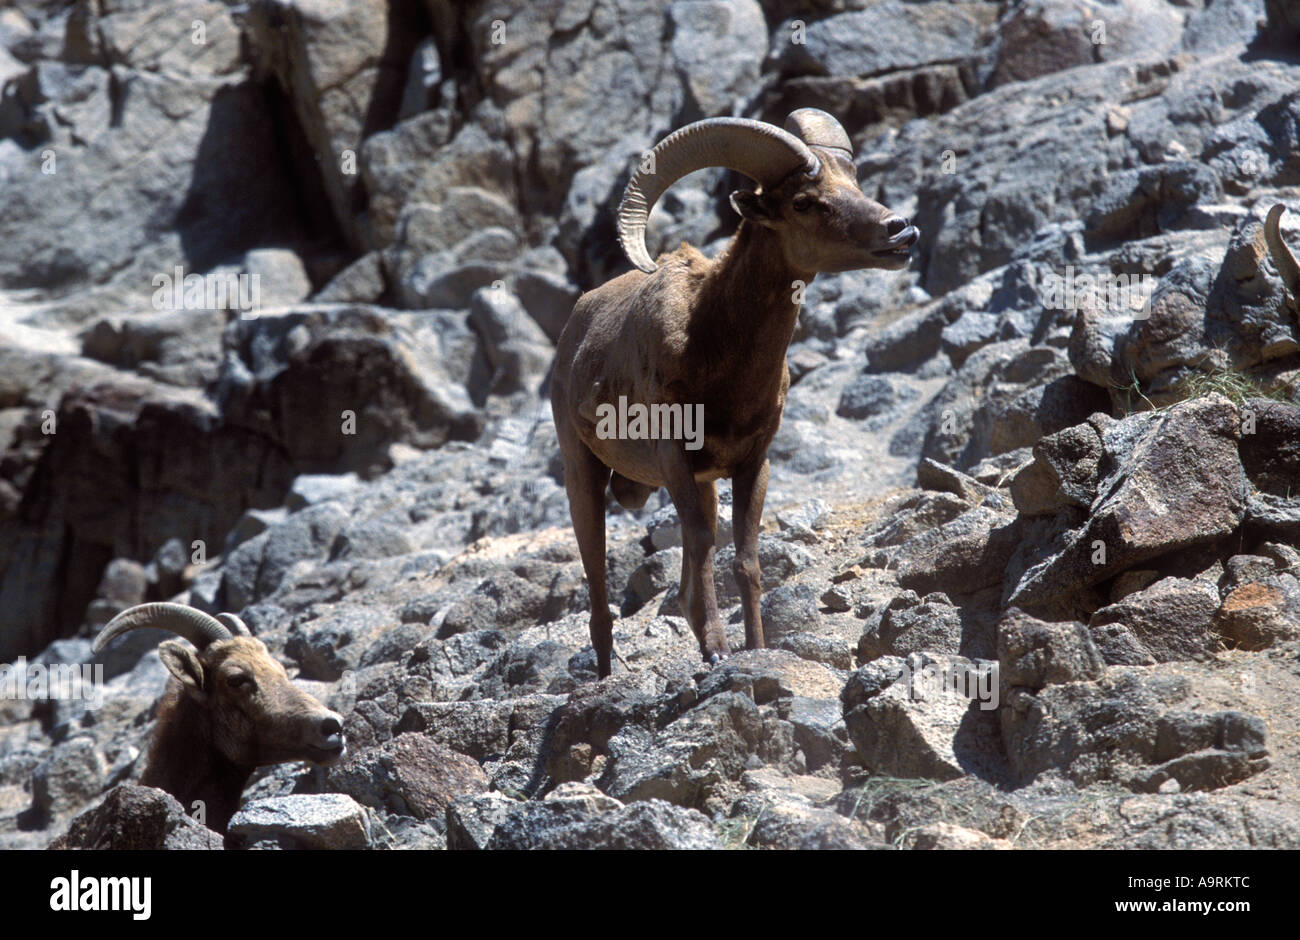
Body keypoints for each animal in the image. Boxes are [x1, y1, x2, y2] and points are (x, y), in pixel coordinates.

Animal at [553, 108, 920, 676]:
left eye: (853, 181)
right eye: (803, 201)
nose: (900, 229)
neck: (713, 347)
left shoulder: (752, 464)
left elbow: (745, 559)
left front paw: (754, 647)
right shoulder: (676, 460)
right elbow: (706, 544)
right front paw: (718, 651)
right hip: (583, 476)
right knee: (598, 594)